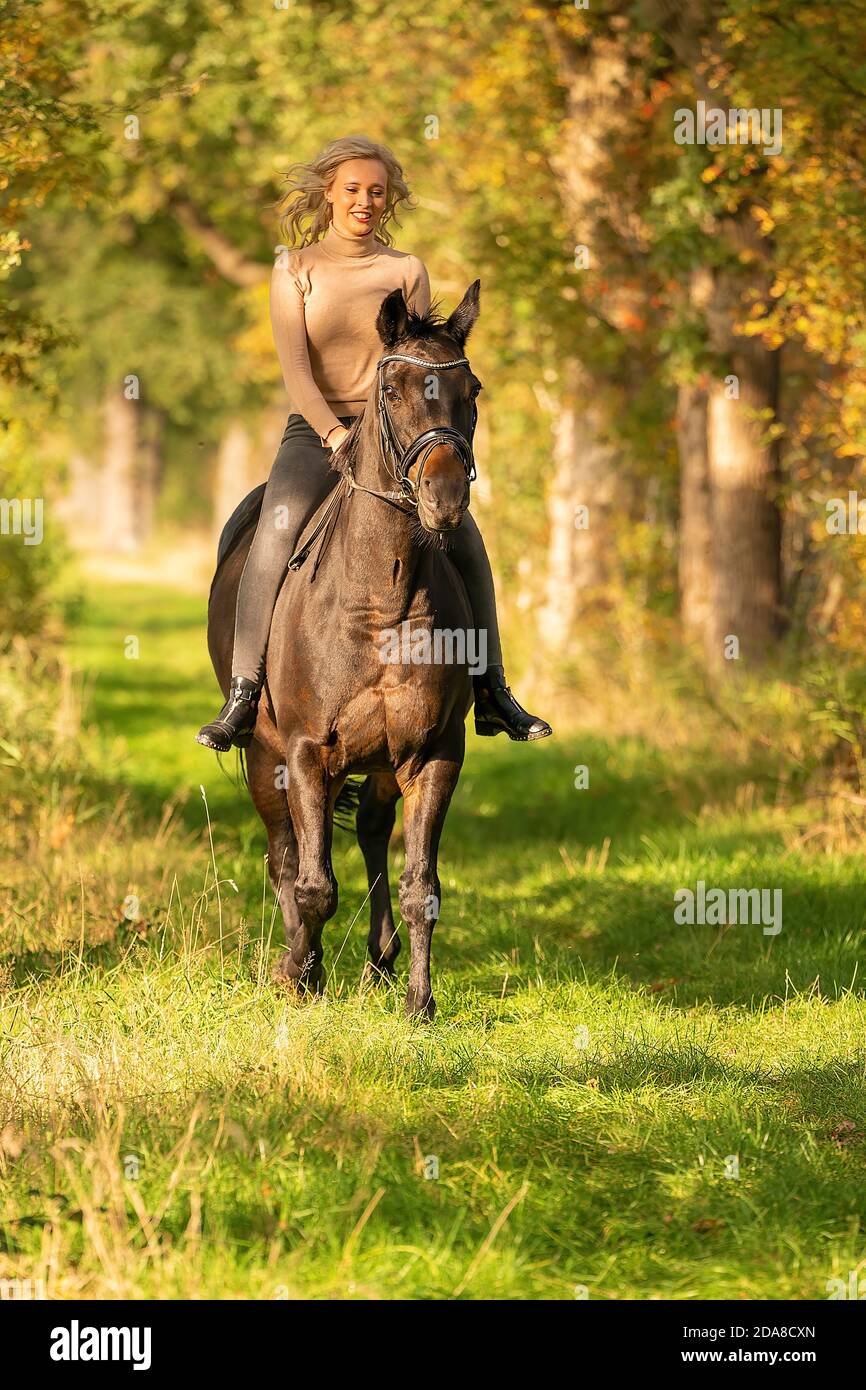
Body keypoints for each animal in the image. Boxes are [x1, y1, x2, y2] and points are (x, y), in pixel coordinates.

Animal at [207, 284, 483, 1023]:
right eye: (390, 389)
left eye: (472, 389)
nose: (446, 498)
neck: (381, 601)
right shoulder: (306, 752)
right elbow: (313, 883)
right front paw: (300, 977)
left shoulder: (432, 753)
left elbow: (421, 885)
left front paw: (419, 1003)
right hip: (264, 757)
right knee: (285, 855)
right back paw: (299, 962)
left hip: (383, 764)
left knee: (372, 837)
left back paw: (380, 961)